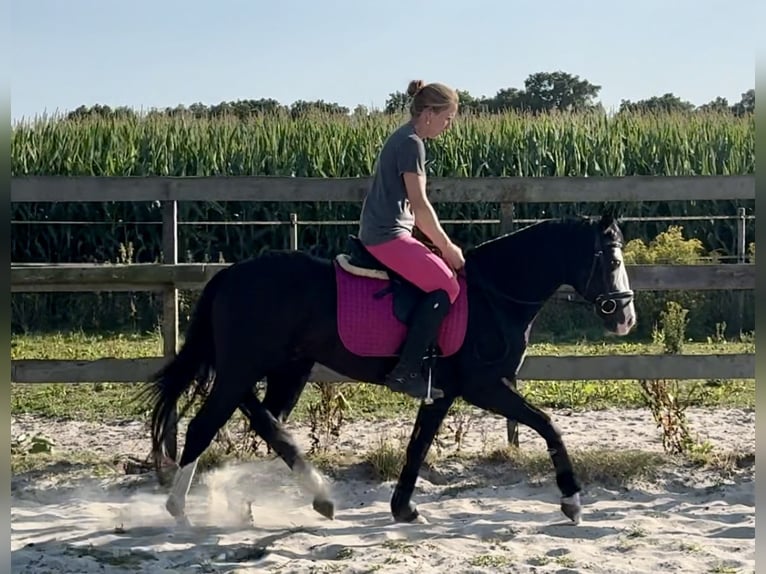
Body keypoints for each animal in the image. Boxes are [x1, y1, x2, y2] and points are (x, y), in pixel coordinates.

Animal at [139, 211, 636, 528]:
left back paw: (301, 497)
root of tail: (230, 274)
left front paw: (404, 510)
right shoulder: (485, 386)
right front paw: (572, 501)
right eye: (612, 261)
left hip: (287, 368)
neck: (493, 296)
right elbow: (548, 424)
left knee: (266, 421)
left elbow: (417, 448)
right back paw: (179, 509)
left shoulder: (442, 393)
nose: (625, 318)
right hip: (244, 367)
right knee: (207, 425)